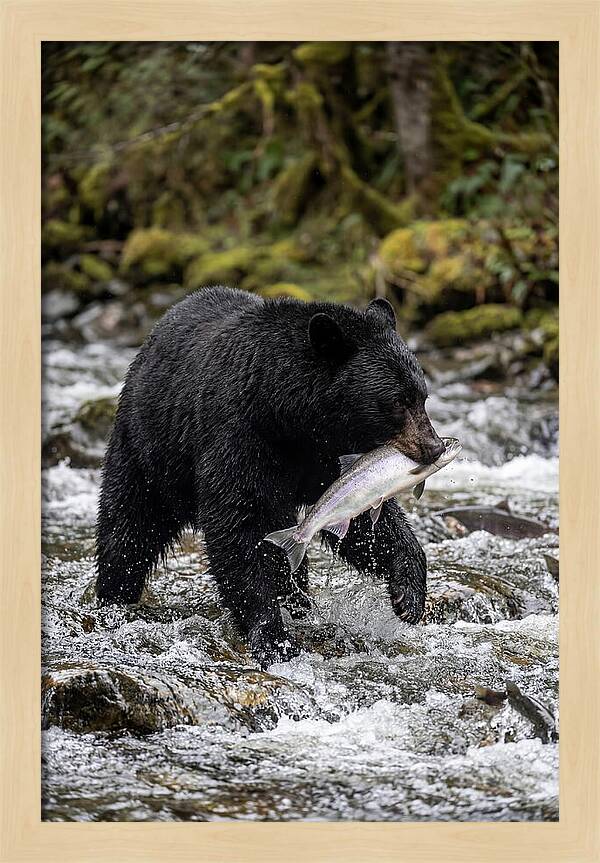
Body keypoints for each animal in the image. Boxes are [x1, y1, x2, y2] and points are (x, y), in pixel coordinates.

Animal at [96, 287, 444, 666]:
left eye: (422, 397)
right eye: (396, 401)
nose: (435, 447)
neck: (288, 415)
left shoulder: (328, 457)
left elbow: (361, 517)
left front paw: (408, 595)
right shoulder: (240, 435)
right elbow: (238, 526)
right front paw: (273, 637)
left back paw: (299, 601)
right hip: (149, 449)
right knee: (128, 525)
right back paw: (113, 597)